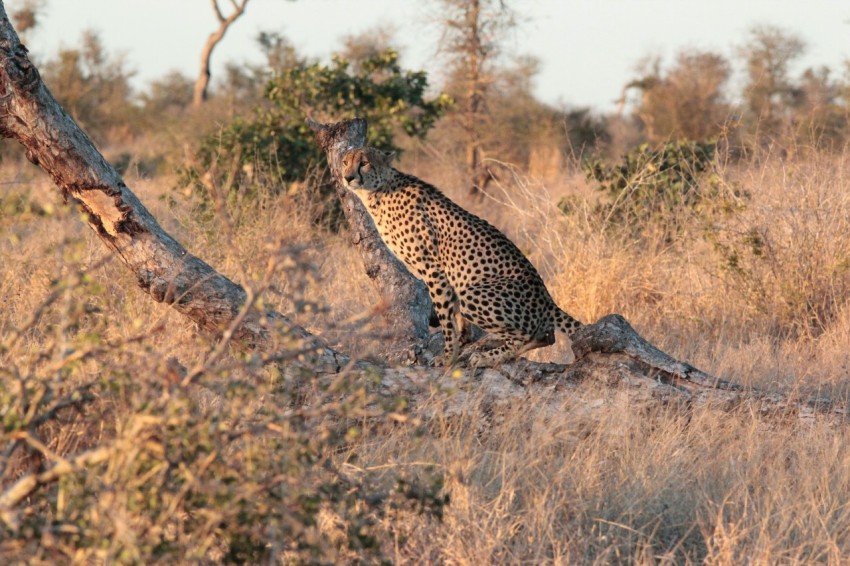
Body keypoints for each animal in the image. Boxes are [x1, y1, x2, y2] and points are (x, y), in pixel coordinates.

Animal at [342, 146, 580, 368]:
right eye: (345, 162)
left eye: (364, 163)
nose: (347, 177)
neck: (378, 192)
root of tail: (547, 298)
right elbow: (455, 316)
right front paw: (463, 340)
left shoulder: (434, 270)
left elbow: (446, 318)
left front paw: (447, 356)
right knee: (547, 336)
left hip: (473, 295)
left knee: (534, 334)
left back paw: (488, 357)